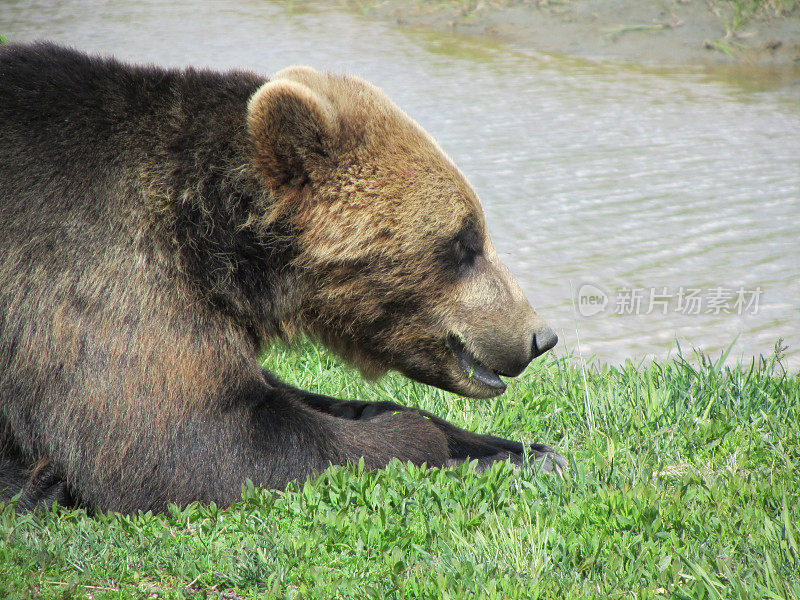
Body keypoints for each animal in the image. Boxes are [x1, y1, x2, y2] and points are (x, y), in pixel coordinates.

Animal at [0, 42, 564, 512]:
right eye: (464, 241)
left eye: (476, 231)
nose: (539, 335)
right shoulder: (107, 278)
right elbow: (194, 441)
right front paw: (427, 439)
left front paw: (526, 450)